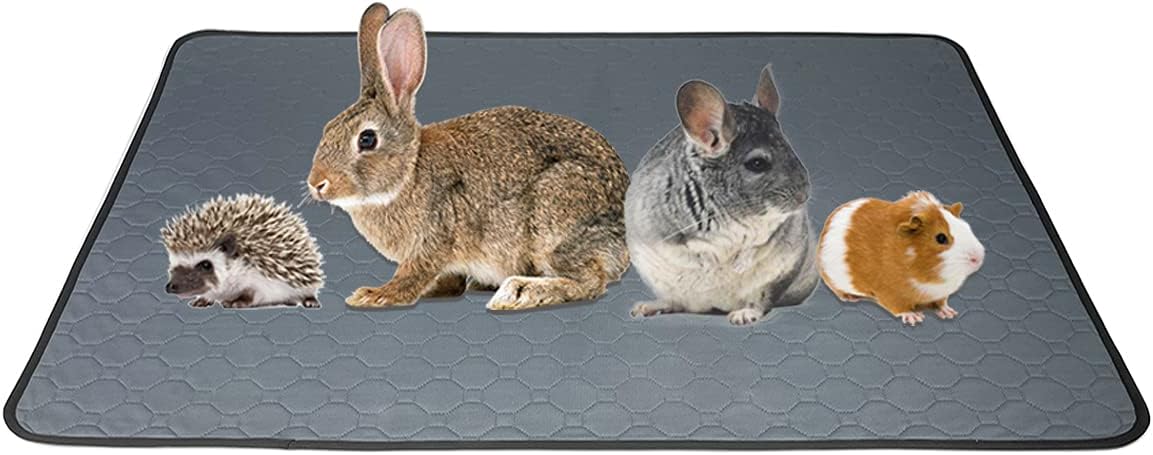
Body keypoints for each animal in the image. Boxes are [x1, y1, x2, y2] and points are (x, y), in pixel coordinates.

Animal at [306, 3, 629, 310]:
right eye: (328, 129)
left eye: (367, 139)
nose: (317, 183)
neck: (409, 173)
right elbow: (448, 280)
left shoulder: (434, 238)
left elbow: (413, 274)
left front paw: (375, 295)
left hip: (555, 219)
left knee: (589, 281)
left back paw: (519, 292)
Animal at [625, 65, 819, 325]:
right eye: (757, 163)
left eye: (790, 149)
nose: (803, 196)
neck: (737, 213)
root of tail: (714, 306)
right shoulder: (662, 227)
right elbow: (692, 249)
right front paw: (713, 265)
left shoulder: (786, 227)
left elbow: (758, 245)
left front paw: (737, 266)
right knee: (675, 301)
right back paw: (647, 307)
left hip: (770, 284)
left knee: (759, 302)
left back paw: (743, 315)